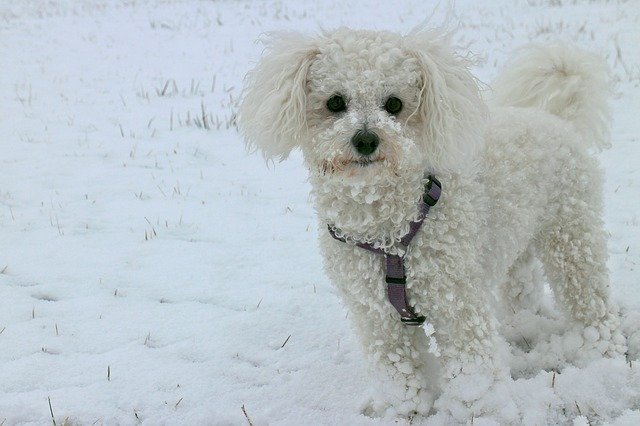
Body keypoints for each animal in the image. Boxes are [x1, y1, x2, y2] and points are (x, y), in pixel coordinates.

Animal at [238, 28, 624, 422]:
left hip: (572, 236)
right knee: (522, 283)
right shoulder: (377, 315)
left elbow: (473, 370)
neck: (390, 231)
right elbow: (397, 370)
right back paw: (521, 326)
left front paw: (482, 412)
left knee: (591, 302)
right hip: (516, 235)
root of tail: (552, 117)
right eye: (335, 102)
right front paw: (405, 411)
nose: (366, 139)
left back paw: (602, 357)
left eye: (394, 104)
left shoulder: (457, 301)